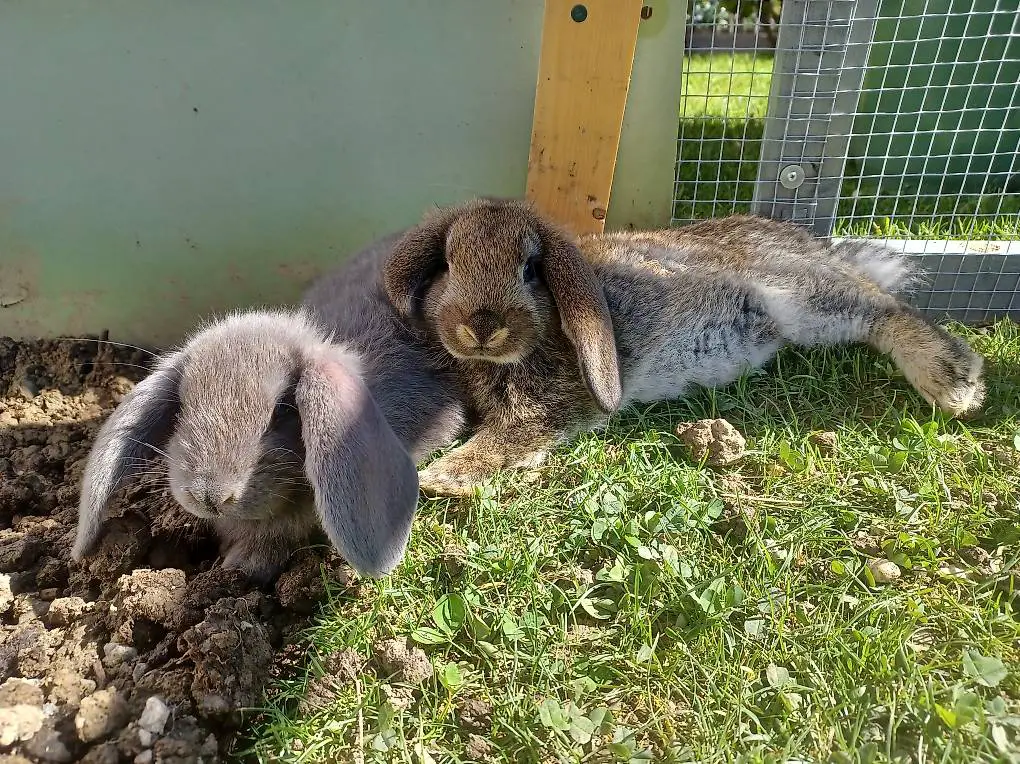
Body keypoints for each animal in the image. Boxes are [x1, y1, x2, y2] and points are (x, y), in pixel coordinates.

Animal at [382, 197, 986, 497]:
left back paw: (954, 383)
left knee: (886, 310)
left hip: (803, 294)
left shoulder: (556, 400)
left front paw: (441, 479)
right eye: (448, 264)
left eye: (531, 269)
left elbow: (508, 437)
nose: (481, 328)